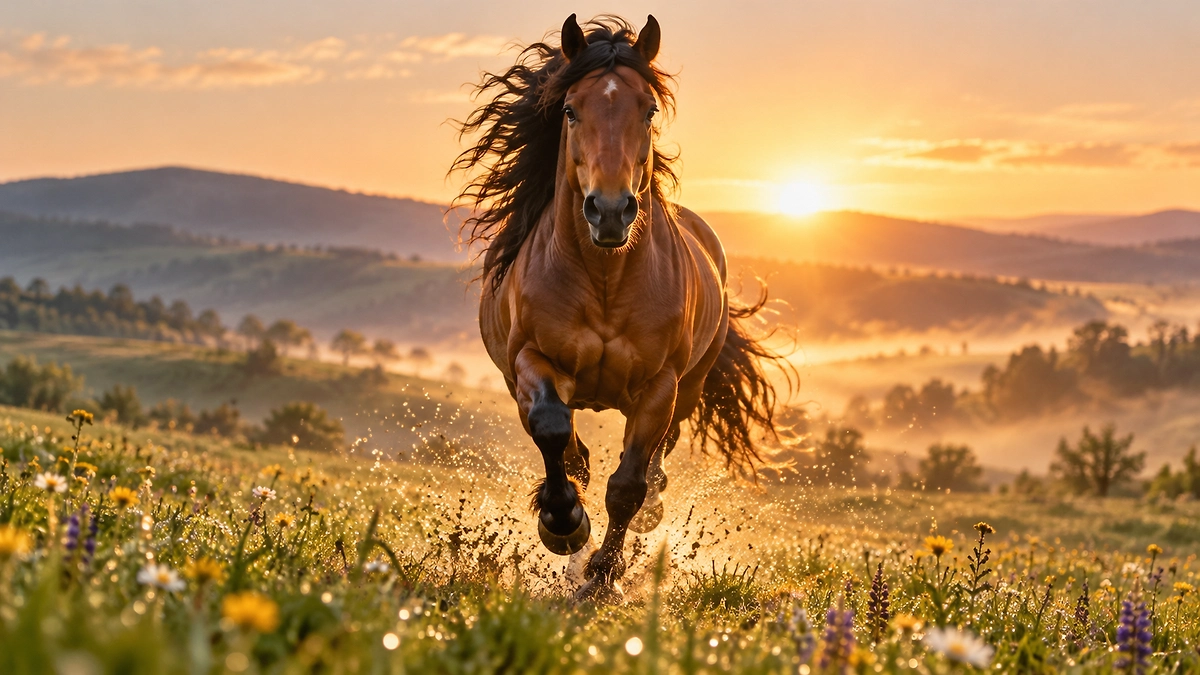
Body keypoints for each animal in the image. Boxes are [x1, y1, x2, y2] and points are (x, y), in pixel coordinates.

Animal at [453, 14, 786, 601]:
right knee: (571, 452)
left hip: (689, 386)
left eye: (648, 109)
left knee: (656, 461)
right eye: (569, 109)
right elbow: (554, 433)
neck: (606, 279)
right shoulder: (532, 361)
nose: (609, 211)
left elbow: (627, 486)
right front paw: (563, 525)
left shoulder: (660, 386)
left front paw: (604, 576)